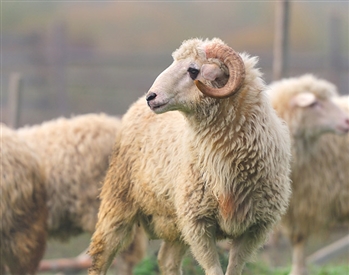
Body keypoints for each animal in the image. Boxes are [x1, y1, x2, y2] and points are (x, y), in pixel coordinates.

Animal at [87, 37, 290, 275]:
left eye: (193, 70)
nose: (151, 97)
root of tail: (134, 106)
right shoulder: (198, 223)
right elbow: (214, 270)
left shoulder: (255, 228)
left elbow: (233, 270)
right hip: (118, 200)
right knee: (101, 255)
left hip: (176, 221)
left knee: (167, 260)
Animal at [266, 75, 348, 275]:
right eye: (315, 104)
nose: (347, 121)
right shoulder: (295, 204)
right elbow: (298, 239)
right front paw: (298, 270)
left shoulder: (306, 200)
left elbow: (300, 238)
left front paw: (299, 270)